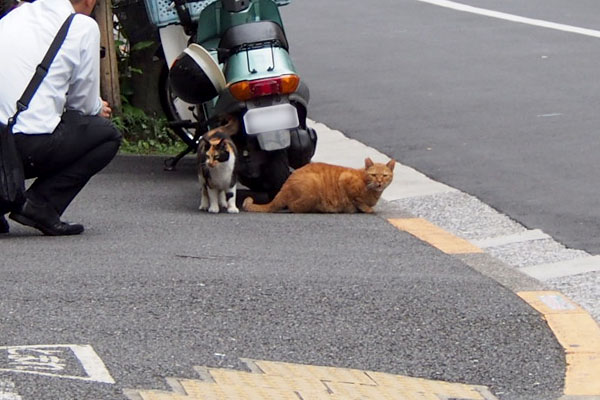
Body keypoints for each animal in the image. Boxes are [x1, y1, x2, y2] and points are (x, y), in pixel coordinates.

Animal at [241, 157, 396, 214]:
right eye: (374, 175)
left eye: (385, 175)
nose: (380, 182)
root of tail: (285, 185)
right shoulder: (345, 179)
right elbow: (357, 200)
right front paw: (366, 208)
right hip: (312, 187)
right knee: (293, 207)